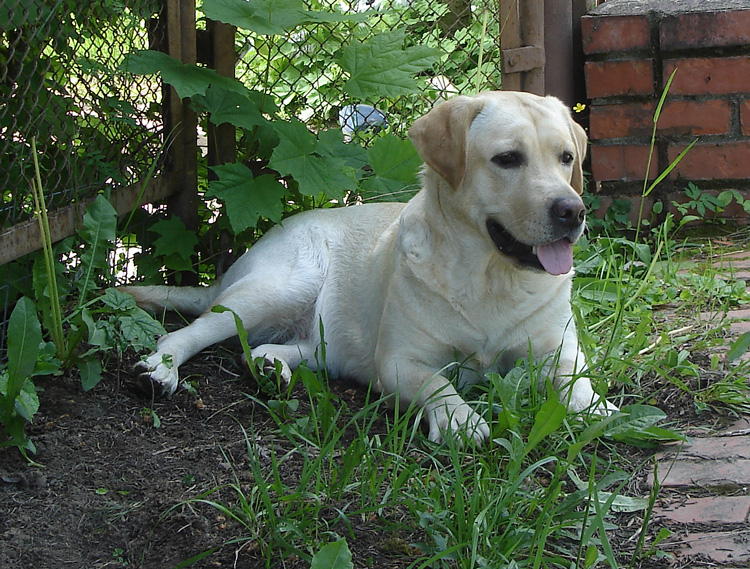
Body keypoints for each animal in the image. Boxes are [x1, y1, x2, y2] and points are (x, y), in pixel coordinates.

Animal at [122, 91, 616, 444]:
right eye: (508, 158)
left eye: (566, 158)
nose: (573, 211)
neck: (491, 280)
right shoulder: (398, 361)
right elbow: (438, 384)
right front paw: (459, 419)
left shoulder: (559, 350)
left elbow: (577, 381)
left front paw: (596, 408)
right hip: (278, 288)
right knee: (187, 331)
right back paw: (160, 370)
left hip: (323, 340)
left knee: (266, 348)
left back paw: (270, 368)